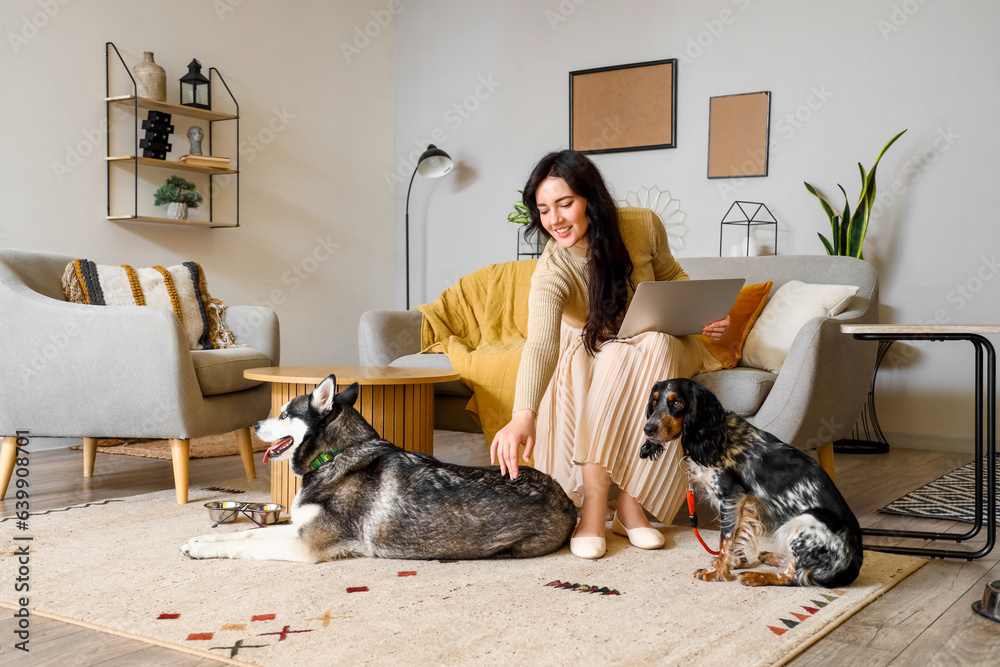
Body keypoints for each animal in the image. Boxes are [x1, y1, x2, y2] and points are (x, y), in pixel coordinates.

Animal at [180, 376, 576, 564]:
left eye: (283, 415)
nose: (255, 424)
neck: (335, 455)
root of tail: (568, 500)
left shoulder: (305, 543)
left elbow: (247, 544)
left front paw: (202, 549)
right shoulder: (299, 528)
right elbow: (247, 534)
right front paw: (199, 540)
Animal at [644, 378, 864, 588]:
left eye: (677, 403)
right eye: (654, 401)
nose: (648, 429)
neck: (715, 437)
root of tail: (854, 565)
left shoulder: (731, 495)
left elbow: (725, 539)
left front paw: (717, 573)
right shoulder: (741, 503)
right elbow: (735, 537)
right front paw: (732, 563)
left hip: (803, 522)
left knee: (793, 576)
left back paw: (756, 576)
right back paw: (772, 557)